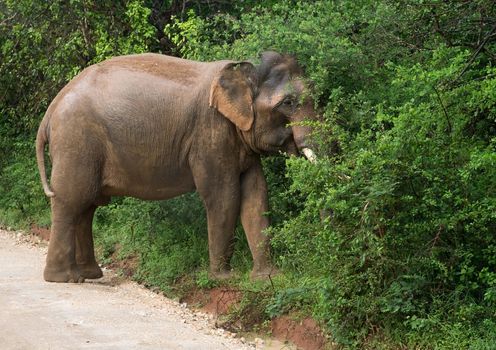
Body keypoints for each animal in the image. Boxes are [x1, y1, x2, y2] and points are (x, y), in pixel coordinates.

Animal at [37, 50, 318, 284]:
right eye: (288, 103)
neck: (241, 70)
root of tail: (50, 110)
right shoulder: (209, 133)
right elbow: (224, 197)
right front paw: (223, 278)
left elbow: (256, 195)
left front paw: (267, 278)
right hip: (77, 142)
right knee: (71, 201)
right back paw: (66, 279)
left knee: (86, 207)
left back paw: (90, 275)